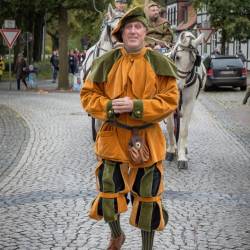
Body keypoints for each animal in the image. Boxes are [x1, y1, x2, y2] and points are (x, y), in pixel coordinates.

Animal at [165, 30, 206, 168]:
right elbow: (170, 127)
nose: (178, 86)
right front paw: (171, 150)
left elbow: (183, 130)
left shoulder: (189, 103)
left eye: (194, 61)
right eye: (177, 57)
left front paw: (181, 156)